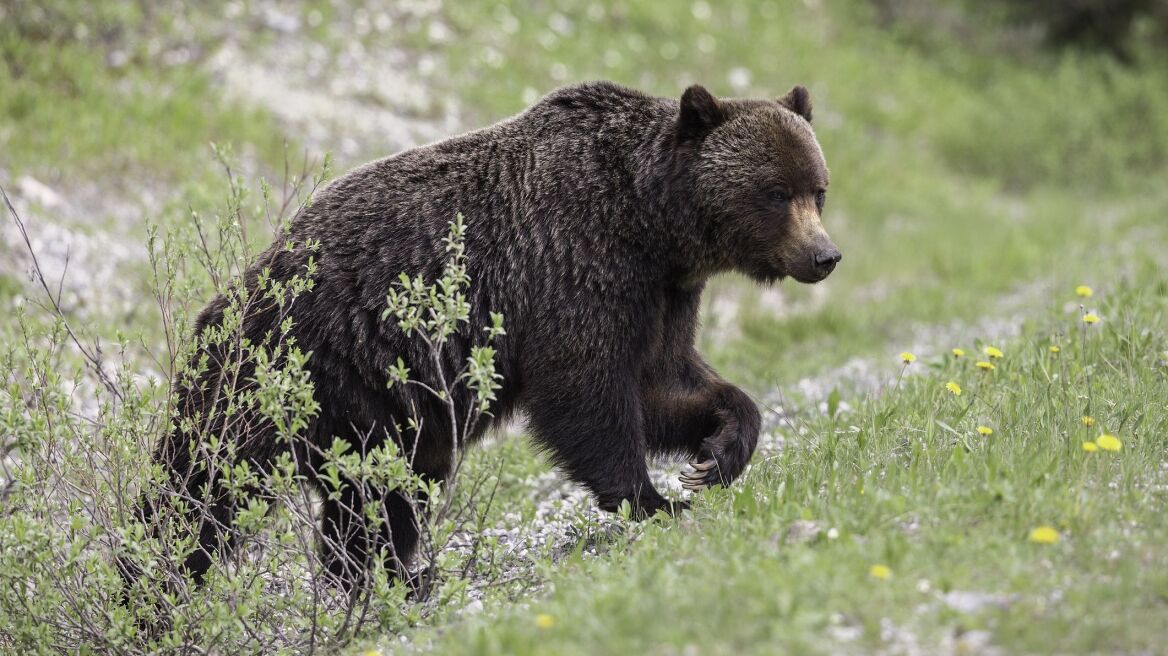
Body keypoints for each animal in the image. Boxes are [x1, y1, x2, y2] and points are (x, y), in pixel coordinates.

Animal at [148, 80, 840, 588]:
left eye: (818, 189)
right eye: (775, 192)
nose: (824, 255)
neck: (652, 225)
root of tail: (226, 302)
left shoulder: (662, 295)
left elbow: (666, 383)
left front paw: (717, 453)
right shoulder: (575, 264)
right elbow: (585, 391)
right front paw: (654, 499)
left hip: (380, 413)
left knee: (382, 495)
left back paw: (391, 577)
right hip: (295, 373)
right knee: (205, 488)